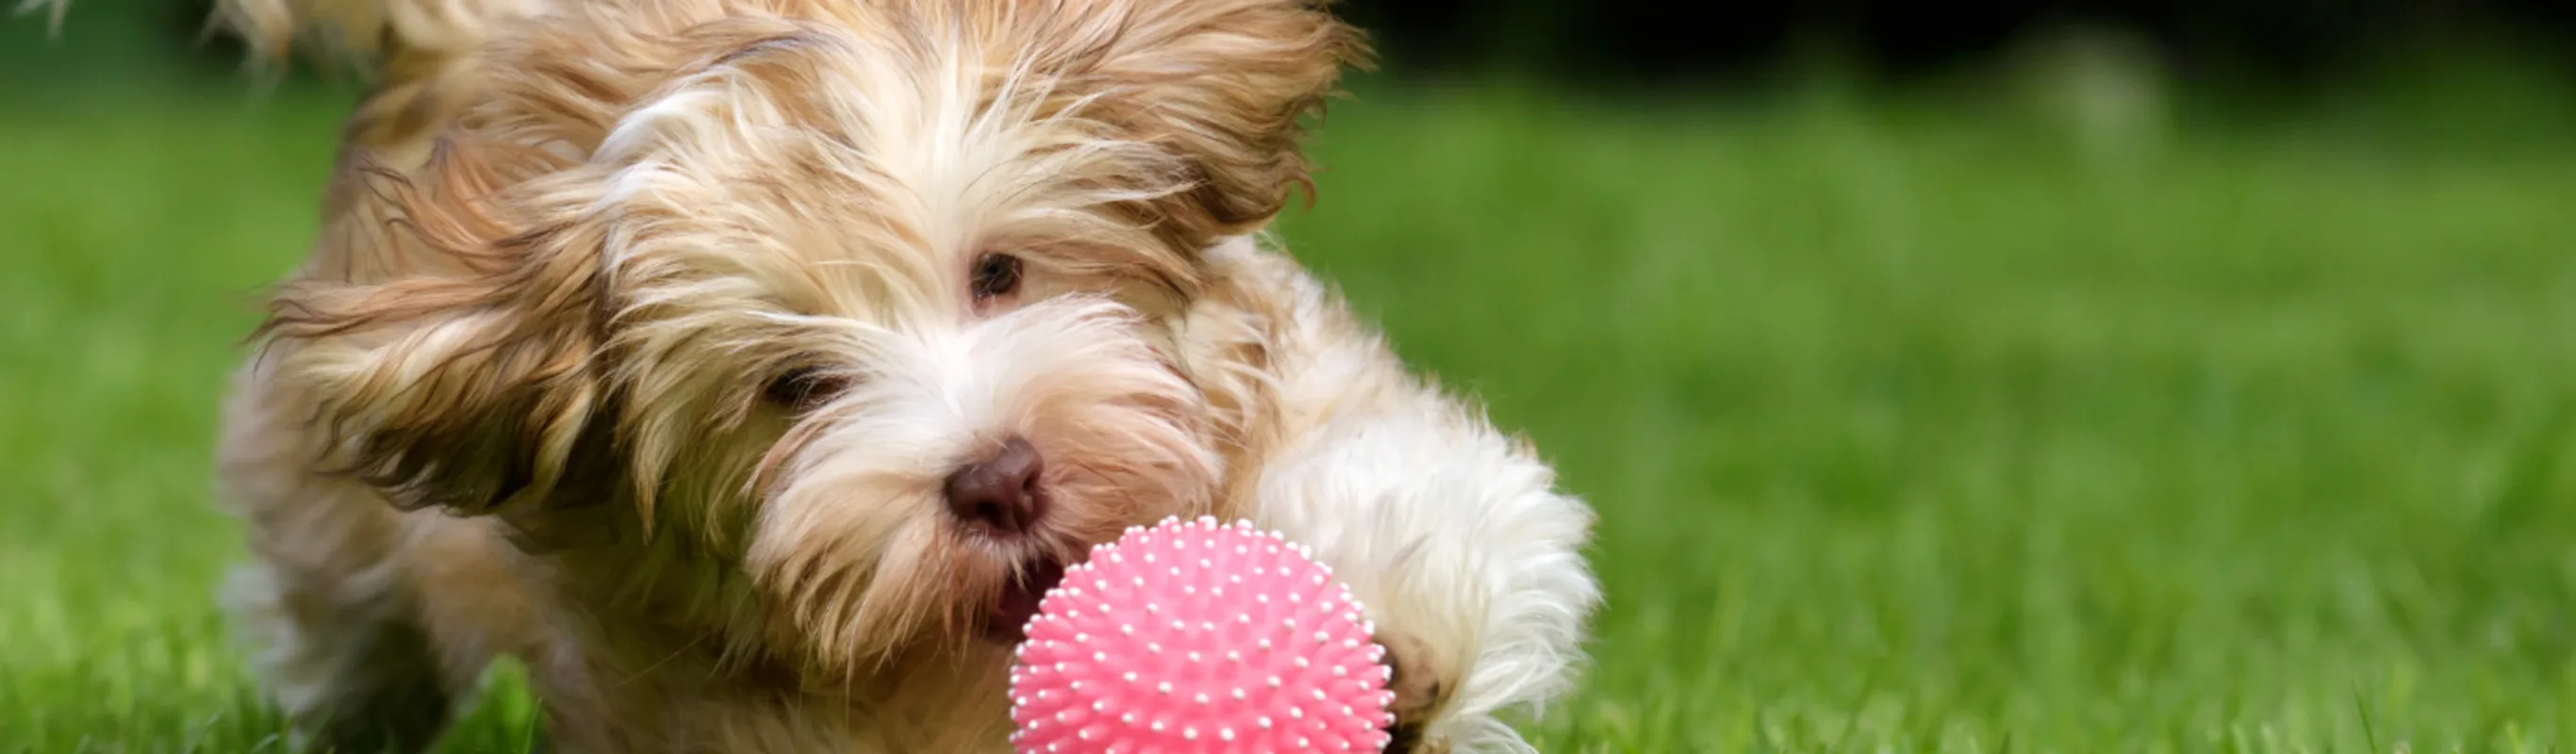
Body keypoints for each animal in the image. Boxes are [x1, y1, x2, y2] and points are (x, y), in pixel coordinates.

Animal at [91, 0, 1596, 746]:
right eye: (795, 388)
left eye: (999, 273)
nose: (998, 478)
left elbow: (1430, 500)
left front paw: (1389, 654)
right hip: (332, 528)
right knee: (347, 628)